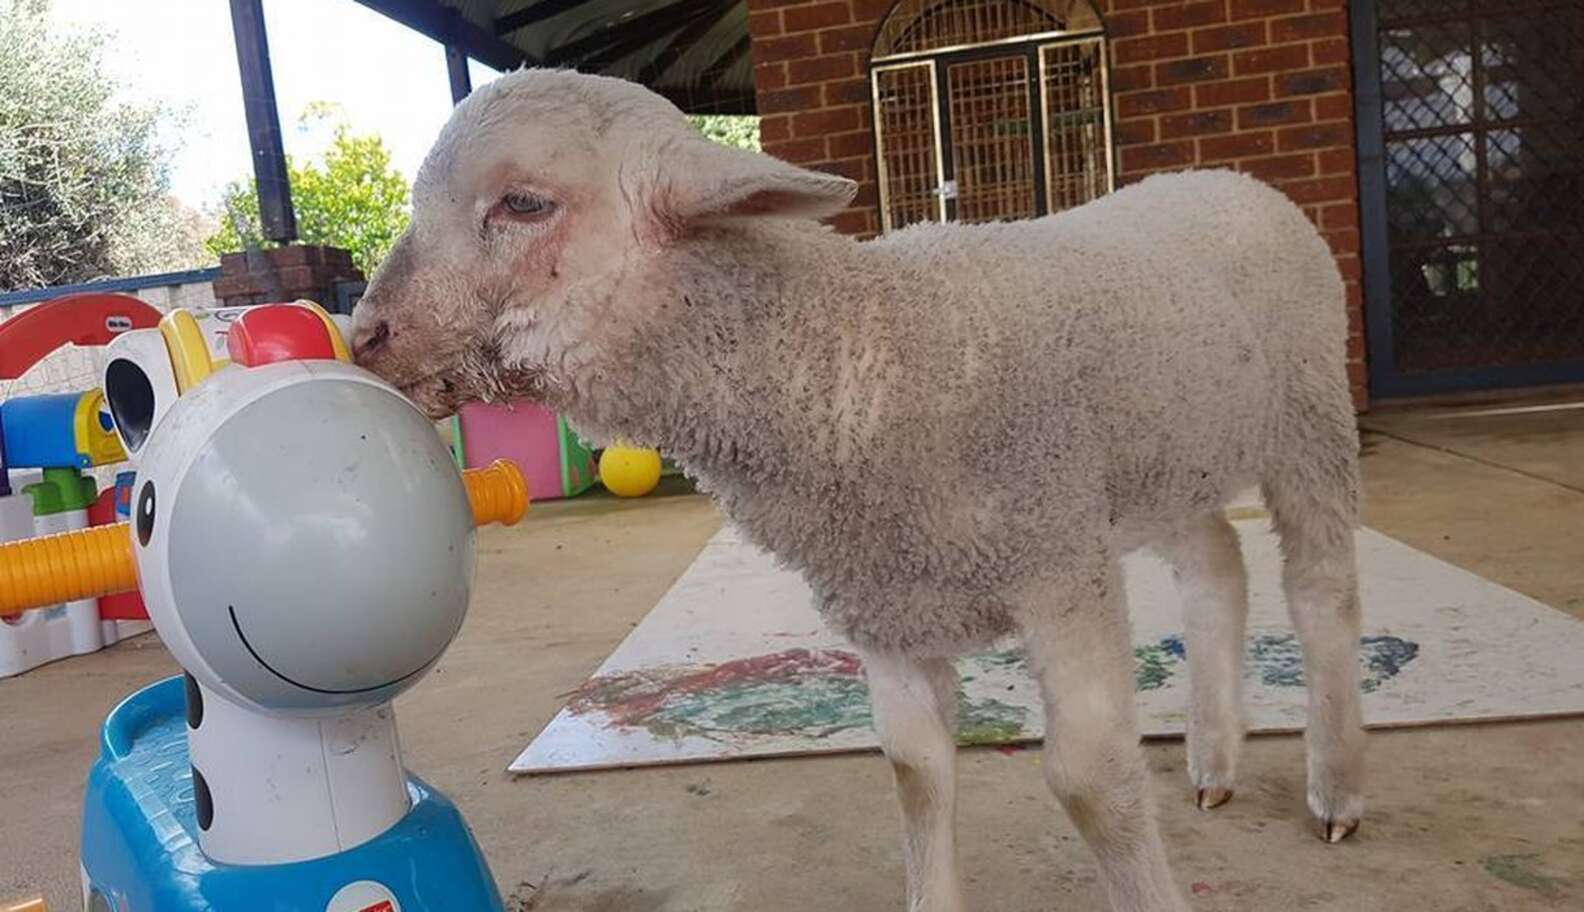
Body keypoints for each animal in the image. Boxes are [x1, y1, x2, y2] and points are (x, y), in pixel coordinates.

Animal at [353, 71, 1368, 912]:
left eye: (524, 203)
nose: (364, 334)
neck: (859, 356)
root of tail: (1229, 176)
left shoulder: (1059, 568)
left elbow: (1089, 782)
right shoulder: (888, 607)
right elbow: (916, 775)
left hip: (1312, 416)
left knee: (1321, 596)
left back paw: (1336, 786)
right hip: (1168, 464)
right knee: (1217, 569)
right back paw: (1214, 759)